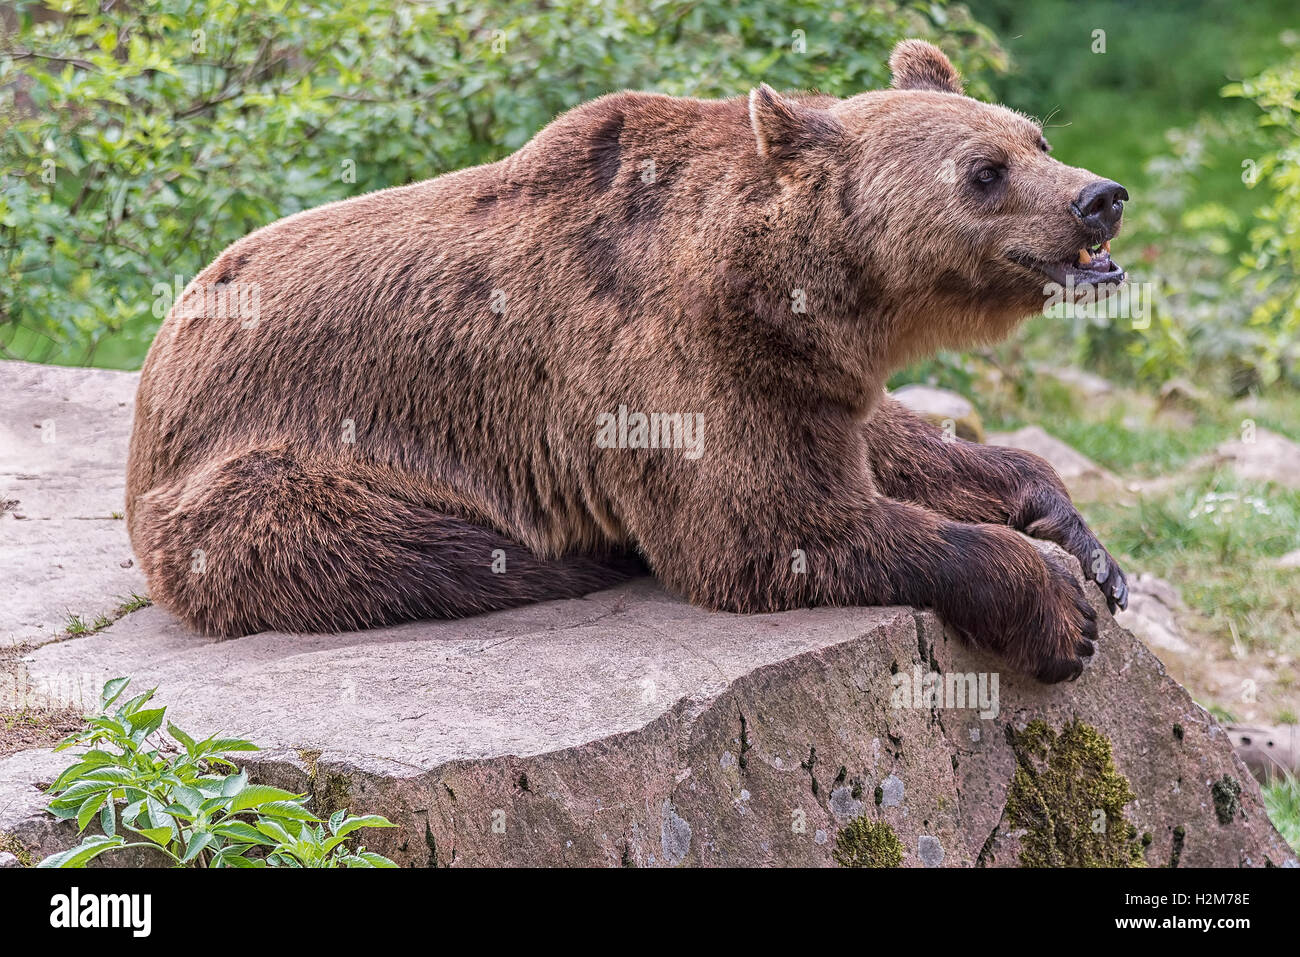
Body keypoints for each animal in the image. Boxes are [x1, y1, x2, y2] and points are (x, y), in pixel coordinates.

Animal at [126, 39, 1133, 681]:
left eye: (1036, 136)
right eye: (983, 171)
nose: (1099, 197)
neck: (784, 289)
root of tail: (155, 372)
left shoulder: (802, 370)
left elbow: (891, 443)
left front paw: (1077, 535)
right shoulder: (666, 367)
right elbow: (769, 527)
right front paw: (1058, 610)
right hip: (265, 467)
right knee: (386, 542)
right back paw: (571, 558)